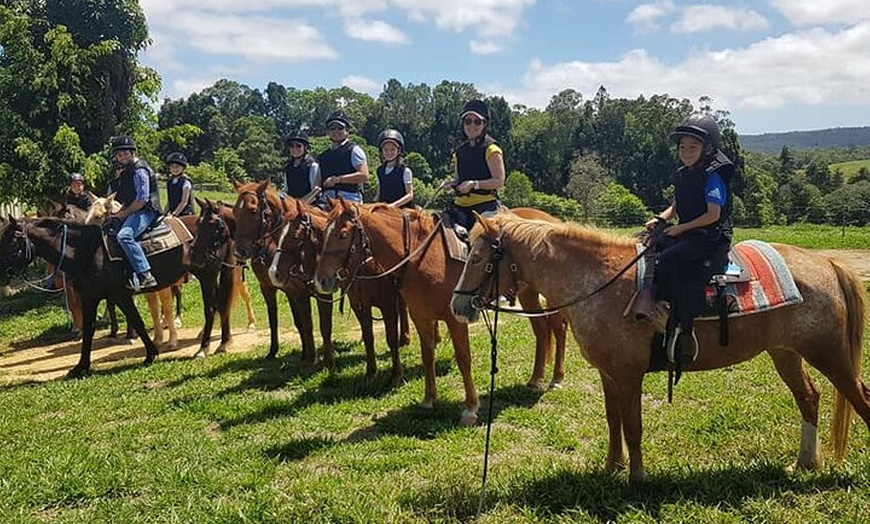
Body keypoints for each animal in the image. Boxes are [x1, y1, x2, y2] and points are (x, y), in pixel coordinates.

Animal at [232, 179, 334, 364]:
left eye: (253, 210)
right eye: (235, 210)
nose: (239, 252)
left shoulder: (307, 291)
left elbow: (315, 324)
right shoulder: (276, 288)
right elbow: (281, 320)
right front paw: (276, 352)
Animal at [270, 196, 412, 384]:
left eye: (295, 236)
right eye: (279, 235)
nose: (274, 273)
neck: (368, 265)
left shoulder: (387, 303)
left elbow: (390, 338)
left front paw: (396, 375)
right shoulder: (358, 304)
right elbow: (367, 336)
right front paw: (370, 372)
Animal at [314, 199, 572, 428]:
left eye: (343, 234)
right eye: (323, 233)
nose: (322, 280)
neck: (423, 256)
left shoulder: (455, 318)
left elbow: (463, 358)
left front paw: (470, 408)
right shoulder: (420, 316)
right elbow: (427, 355)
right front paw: (429, 399)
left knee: (558, 328)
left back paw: (556, 378)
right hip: (528, 294)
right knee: (542, 330)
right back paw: (536, 377)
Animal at [450, 211, 870, 482]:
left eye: (481, 257)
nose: (457, 305)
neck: (599, 280)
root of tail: (828, 265)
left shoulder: (629, 374)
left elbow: (633, 426)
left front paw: (636, 477)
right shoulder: (609, 373)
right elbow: (614, 421)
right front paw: (612, 467)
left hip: (830, 356)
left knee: (859, 400)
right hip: (786, 353)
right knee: (809, 398)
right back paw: (804, 463)